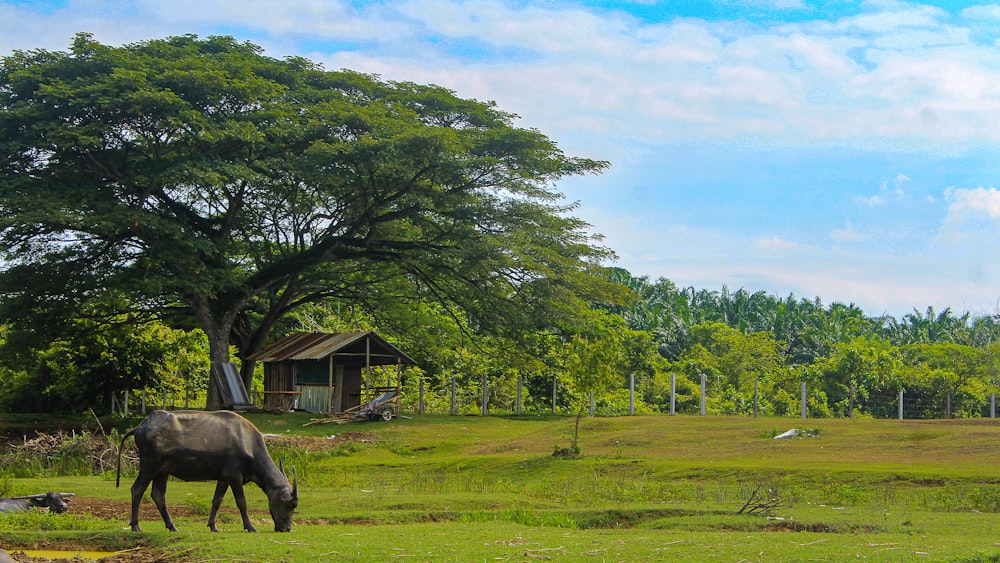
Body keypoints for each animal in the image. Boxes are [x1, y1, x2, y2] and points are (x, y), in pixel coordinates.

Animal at [117, 410, 296, 532]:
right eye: (291, 505)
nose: (286, 528)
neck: (247, 440)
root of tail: (142, 426)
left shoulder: (223, 479)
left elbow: (217, 501)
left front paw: (213, 526)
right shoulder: (234, 477)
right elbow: (242, 503)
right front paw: (250, 527)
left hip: (163, 471)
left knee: (158, 495)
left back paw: (172, 526)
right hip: (149, 467)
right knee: (137, 490)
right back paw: (135, 526)